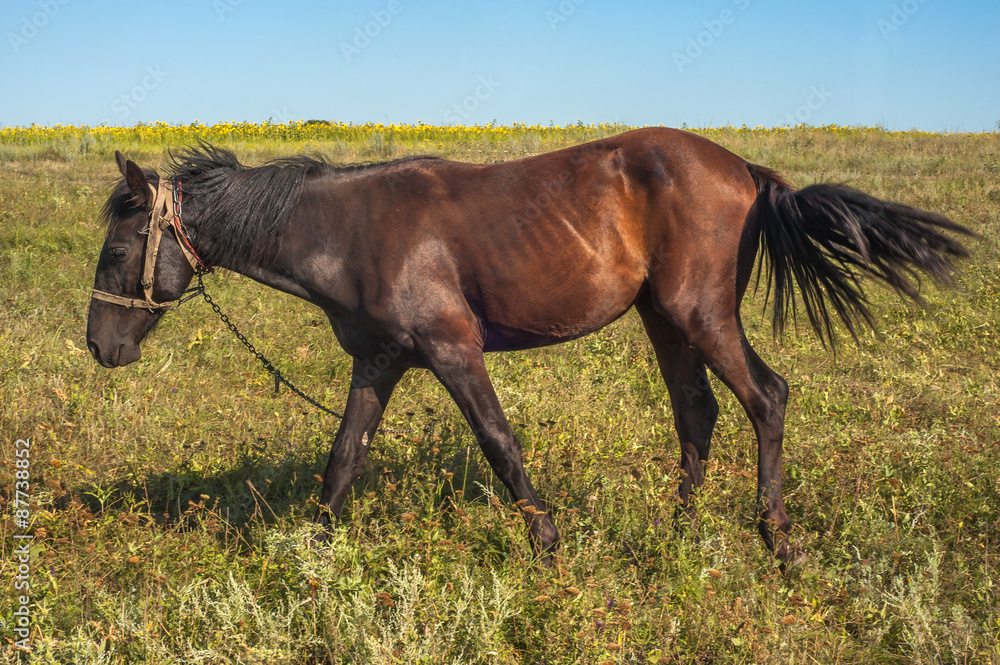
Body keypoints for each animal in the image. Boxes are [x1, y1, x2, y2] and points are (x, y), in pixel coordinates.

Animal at [86, 128, 973, 564]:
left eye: (119, 250)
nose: (99, 347)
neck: (347, 230)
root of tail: (746, 170)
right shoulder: (380, 362)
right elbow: (342, 459)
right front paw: (309, 554)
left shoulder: (452, 350)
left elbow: (499, 442)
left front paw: (547, 546)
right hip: (663, 320)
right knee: (697, 414)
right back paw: (677, 535)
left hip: (701, 315)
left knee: (766, 397)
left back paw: (777, 539)